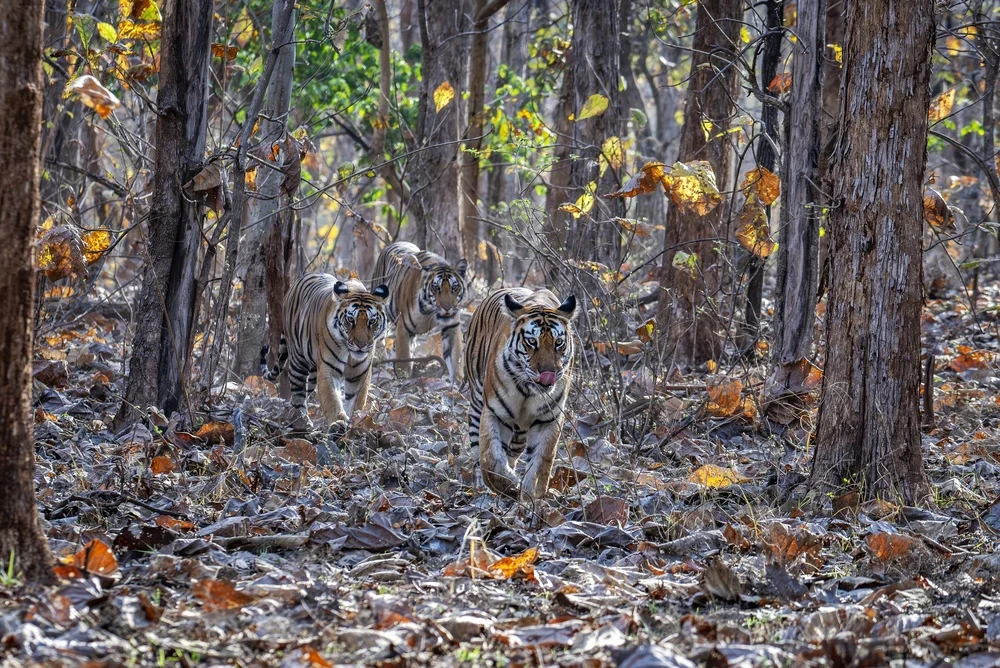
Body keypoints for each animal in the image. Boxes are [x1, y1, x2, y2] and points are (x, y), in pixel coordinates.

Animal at [260, 274, 389, 431]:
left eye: (372, 321)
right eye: (350, 320)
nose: (361, 345)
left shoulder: (360, 374)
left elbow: (356, 402)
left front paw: (356, 422)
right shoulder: (329, 369)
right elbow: (331, 398)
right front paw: (338, 423)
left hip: (313, 371)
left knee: (306, 390)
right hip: (298, 360)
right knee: (298, 394)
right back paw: (301, 420)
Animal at [371, 241, 468, 381]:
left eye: (454, 287)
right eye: (436, 288)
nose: (447, 307)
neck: (431, 313)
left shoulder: (452, 328)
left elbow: (456, 358)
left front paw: (457, 381)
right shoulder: (404, 328)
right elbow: (404, 359)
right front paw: (403, 378)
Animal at [464, 287, 577, 502]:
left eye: (558, 342)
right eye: (532, 341)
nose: (548, 373)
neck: (528, 392)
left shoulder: (548, 419)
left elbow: (541, 463)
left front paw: (531, 498)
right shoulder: (494, 412)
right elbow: (490, 458)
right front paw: (507, 484)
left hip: (520, 433)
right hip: (477, 400)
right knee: (477, 447)